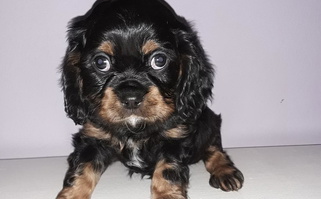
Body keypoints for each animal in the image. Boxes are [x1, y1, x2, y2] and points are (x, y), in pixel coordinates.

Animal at [57, 0, 242, 199]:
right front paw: (71, 194)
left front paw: (166, 195)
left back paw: (225, 171)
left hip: (208, 120)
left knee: (213, 146)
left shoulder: (175, 137)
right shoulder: (92, 137)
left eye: (159, 60)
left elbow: (167, 171)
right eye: (101, 62)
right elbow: (80, 170)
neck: (135, 128)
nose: (131, 98)